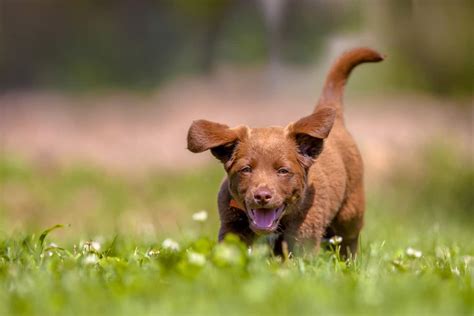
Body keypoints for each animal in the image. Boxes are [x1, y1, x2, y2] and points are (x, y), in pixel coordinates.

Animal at [187, 47, 384, 256]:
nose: (262, 196)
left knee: (349, 242)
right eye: (246, 169)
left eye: (283, 171)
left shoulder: (304, 237)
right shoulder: (231, 228)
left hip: (350, 212)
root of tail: (336, 120)